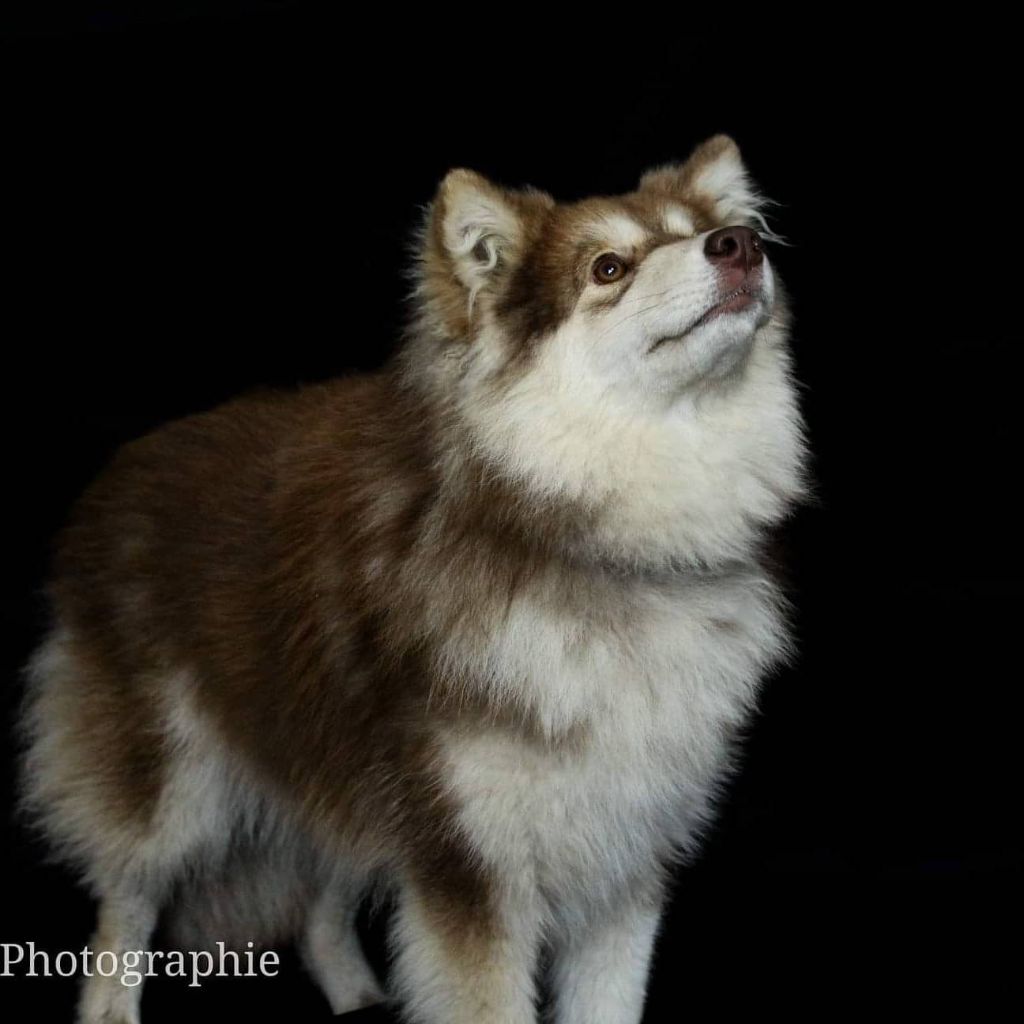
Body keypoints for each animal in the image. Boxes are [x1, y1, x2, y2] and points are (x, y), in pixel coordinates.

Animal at [18, 138, 806, 1024]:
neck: (598, 544)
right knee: (127, 893)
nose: (739, 245)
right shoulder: (472, 864)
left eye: (702, 228)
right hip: (171, 782)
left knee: (322, 899)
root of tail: (122, 470)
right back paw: (111, 1006)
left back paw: (357, 994)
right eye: (608, 267)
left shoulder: (627, 863)